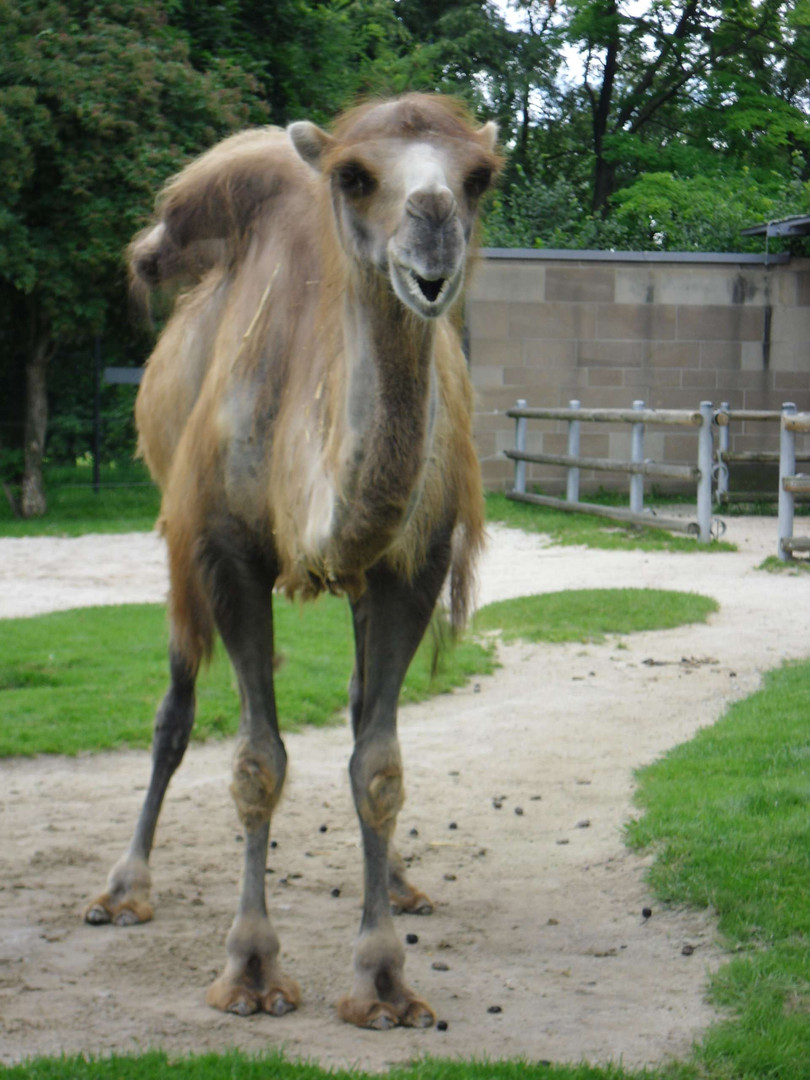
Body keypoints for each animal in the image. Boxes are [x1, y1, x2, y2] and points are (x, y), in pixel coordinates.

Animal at [84, 97, 501, 1032]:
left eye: (479, 178)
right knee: (175, 707)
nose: (434, 229)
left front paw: (382, 980)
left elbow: (378, 765)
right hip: (175, 531)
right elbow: (255, 761)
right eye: (353, 176)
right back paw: (123, 889)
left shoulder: (409, 565)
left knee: (356, 714)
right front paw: (248, 968)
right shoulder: (224, 551)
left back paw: (403, 884)